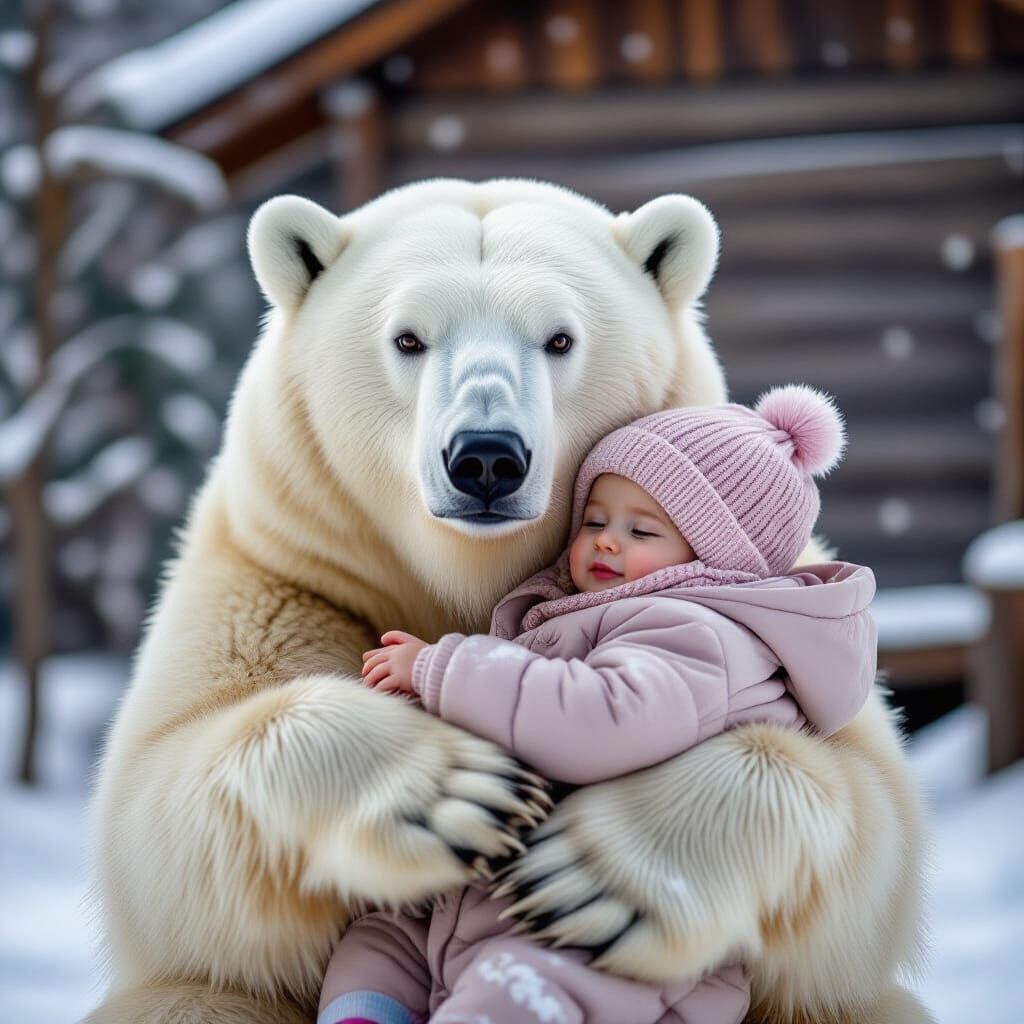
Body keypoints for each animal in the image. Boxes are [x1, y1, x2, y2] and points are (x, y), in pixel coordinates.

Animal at [85, 179, 931, 1024]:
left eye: (559, 338)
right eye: (408, 339)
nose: (485, 458)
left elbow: (868, 819)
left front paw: (591, 878)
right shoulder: (284, 571)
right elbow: (158, 801)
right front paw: (453, 791)